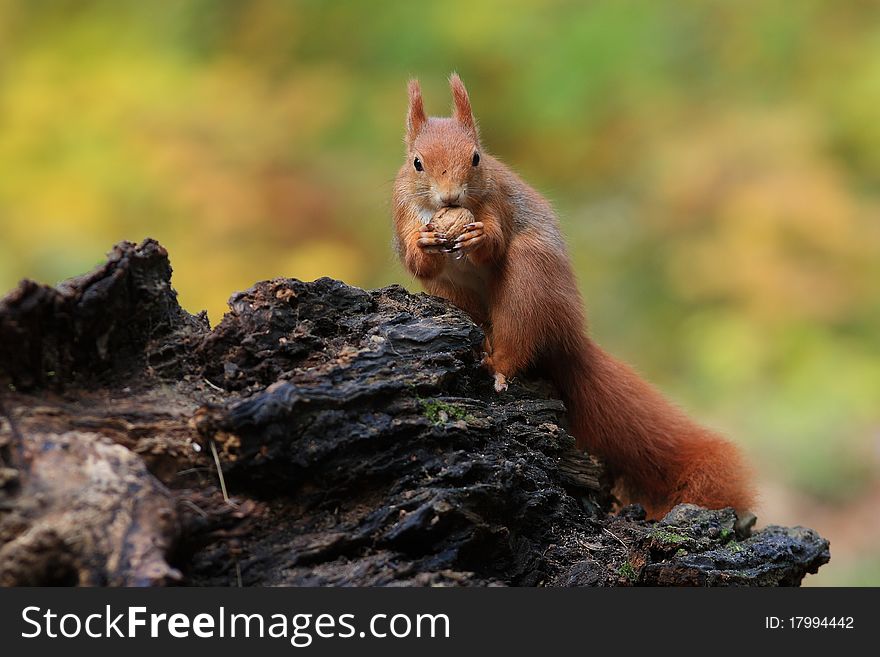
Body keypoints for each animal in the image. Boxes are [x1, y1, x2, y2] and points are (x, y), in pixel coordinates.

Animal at [396, 74, 752, 516]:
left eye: (477, 158)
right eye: (417, 162)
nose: (450, 198)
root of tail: (567, 334)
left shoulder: (498, 201)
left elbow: (493, 243)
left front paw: (479, 237)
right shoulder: (403, 213)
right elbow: (416, 261)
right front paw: (424, 243)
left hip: (533, 278)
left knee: (520, 335)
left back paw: (499, 365)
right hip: (453, 293)